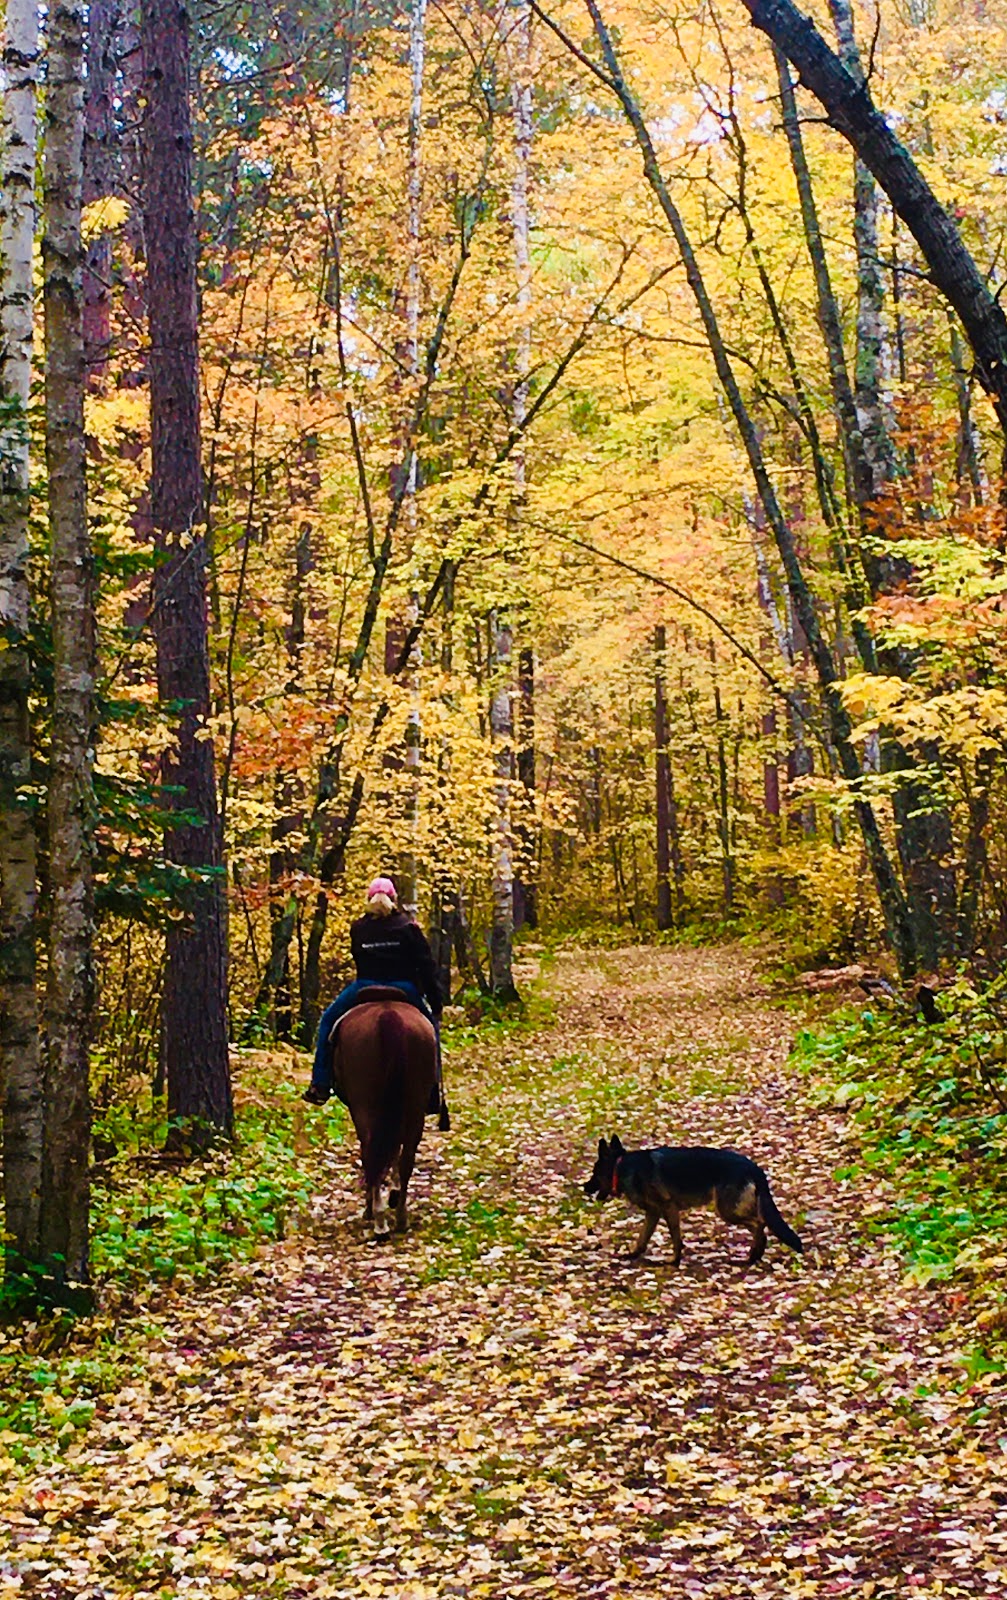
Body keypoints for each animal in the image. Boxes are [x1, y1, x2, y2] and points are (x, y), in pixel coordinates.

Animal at [333, 992, 437, 1241]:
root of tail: (389, 1016)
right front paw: (394, 1193)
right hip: (414, 1106)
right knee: (406, 1157)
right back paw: (400, 1217)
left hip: (364, 1106)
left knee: (371, 1153)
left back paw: (378, 1219)